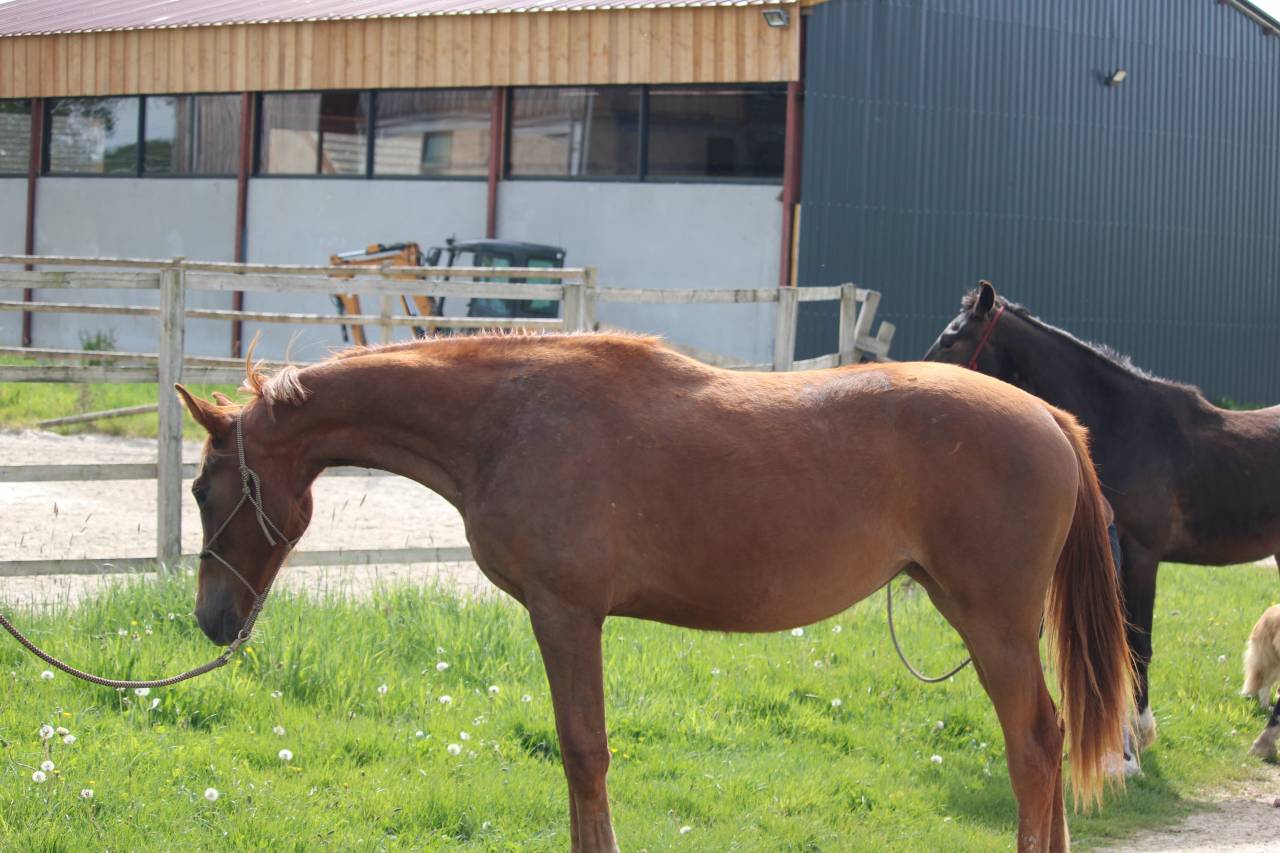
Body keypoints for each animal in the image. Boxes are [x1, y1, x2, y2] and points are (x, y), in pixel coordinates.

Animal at [176, 332, 1132, 853]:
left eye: (202, 488)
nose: (212, 620)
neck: (506, 418)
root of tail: (1051, 419)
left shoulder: (567, 615)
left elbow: (583, 754)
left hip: (993, 625)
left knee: (1033, 748)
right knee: (1044, 743)